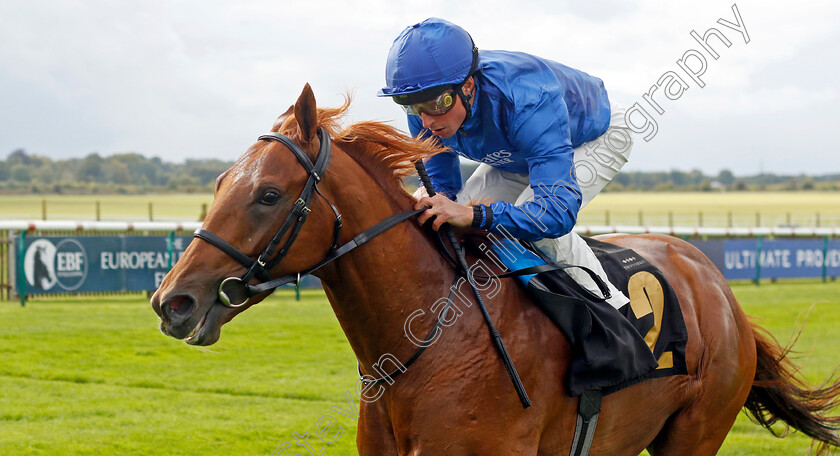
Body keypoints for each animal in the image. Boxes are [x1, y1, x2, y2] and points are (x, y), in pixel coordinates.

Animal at [153, 84, 840, 452]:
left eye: (268, 194)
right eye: (219, 184)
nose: (171, 301)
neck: (432, 340)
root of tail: (717, 284)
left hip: (695, 433)